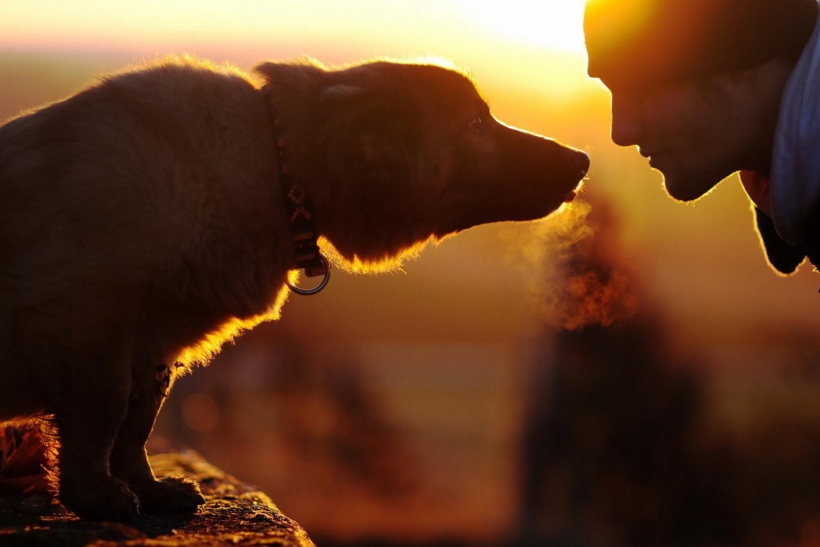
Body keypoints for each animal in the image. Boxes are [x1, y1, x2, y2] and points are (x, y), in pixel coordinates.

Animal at [0, 55, 588, 524]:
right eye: (473, 122)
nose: (583, 159)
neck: (277, 169)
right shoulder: (91, 318)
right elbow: (106, 413)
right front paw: (96, 496)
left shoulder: (155, 346)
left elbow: (136, 424)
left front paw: (146, 487)